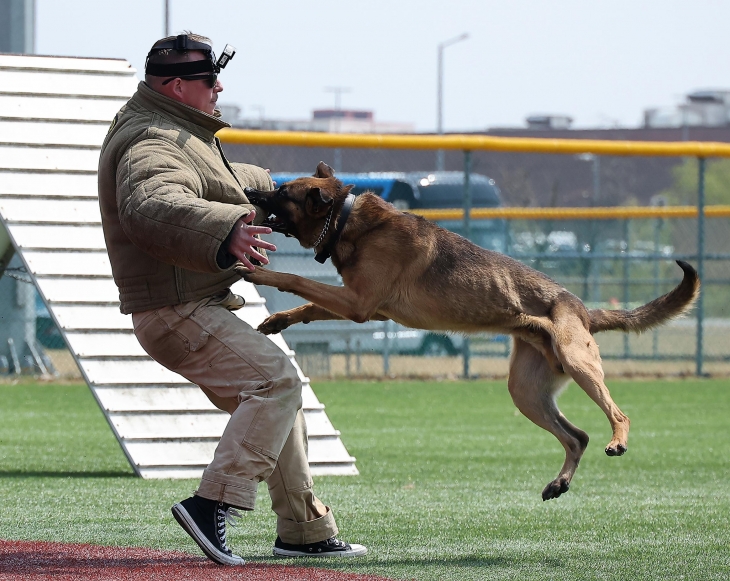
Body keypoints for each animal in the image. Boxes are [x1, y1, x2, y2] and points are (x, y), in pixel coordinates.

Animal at [243, 161, 700, 501]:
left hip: (577, 361)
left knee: (617, 414)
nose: (250, 192)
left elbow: (297, 281)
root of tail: (582, 309)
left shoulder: (357, 303)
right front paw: (277, 320)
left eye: (282, 192)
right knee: (578, 437)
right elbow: (309, 304)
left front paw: (260, 273)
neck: (345, 218)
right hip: (526, 391)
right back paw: (560, 482)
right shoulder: (358, 303)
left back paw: (617, 439)